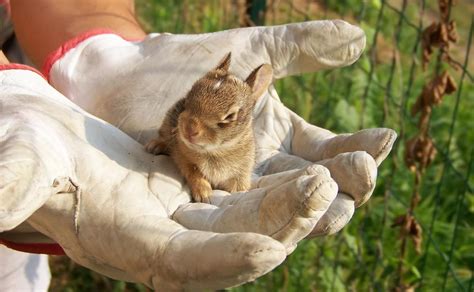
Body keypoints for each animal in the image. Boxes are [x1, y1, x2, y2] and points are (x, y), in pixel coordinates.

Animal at [144, 53, 272, 203]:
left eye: (230, 116)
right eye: (188, 97)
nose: (189, 128)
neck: (215, 151)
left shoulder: (241, 174)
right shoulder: (185, 159)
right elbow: (194, 173)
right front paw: (204, 194)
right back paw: (155, 146)